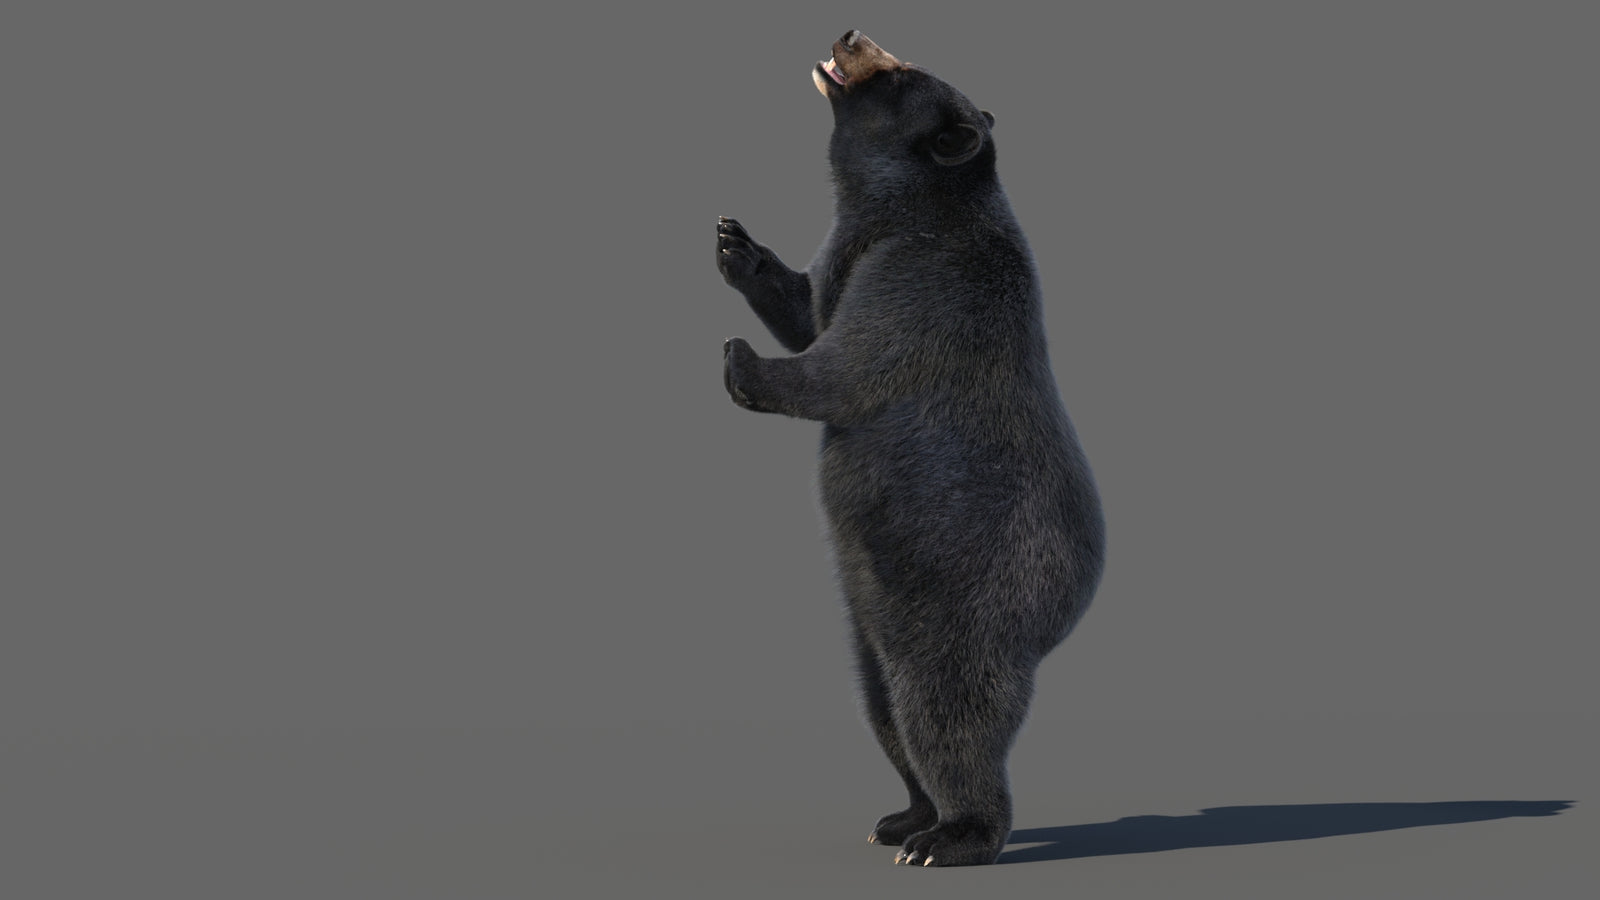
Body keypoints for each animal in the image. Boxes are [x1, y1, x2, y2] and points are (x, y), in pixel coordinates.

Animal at [717, 30, 1105, 867]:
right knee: (883, 708)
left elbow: (851, 361)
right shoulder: (850, 253)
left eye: (901, 73)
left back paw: (951, 836)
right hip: (870, 626)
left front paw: (739, 361)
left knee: (945, 713)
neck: (899, 209)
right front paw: (737, 246)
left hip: (965, 604)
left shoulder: (925, 277)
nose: (850, 34)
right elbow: (810, 308)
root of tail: (1061, 620)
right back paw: (901, 817)